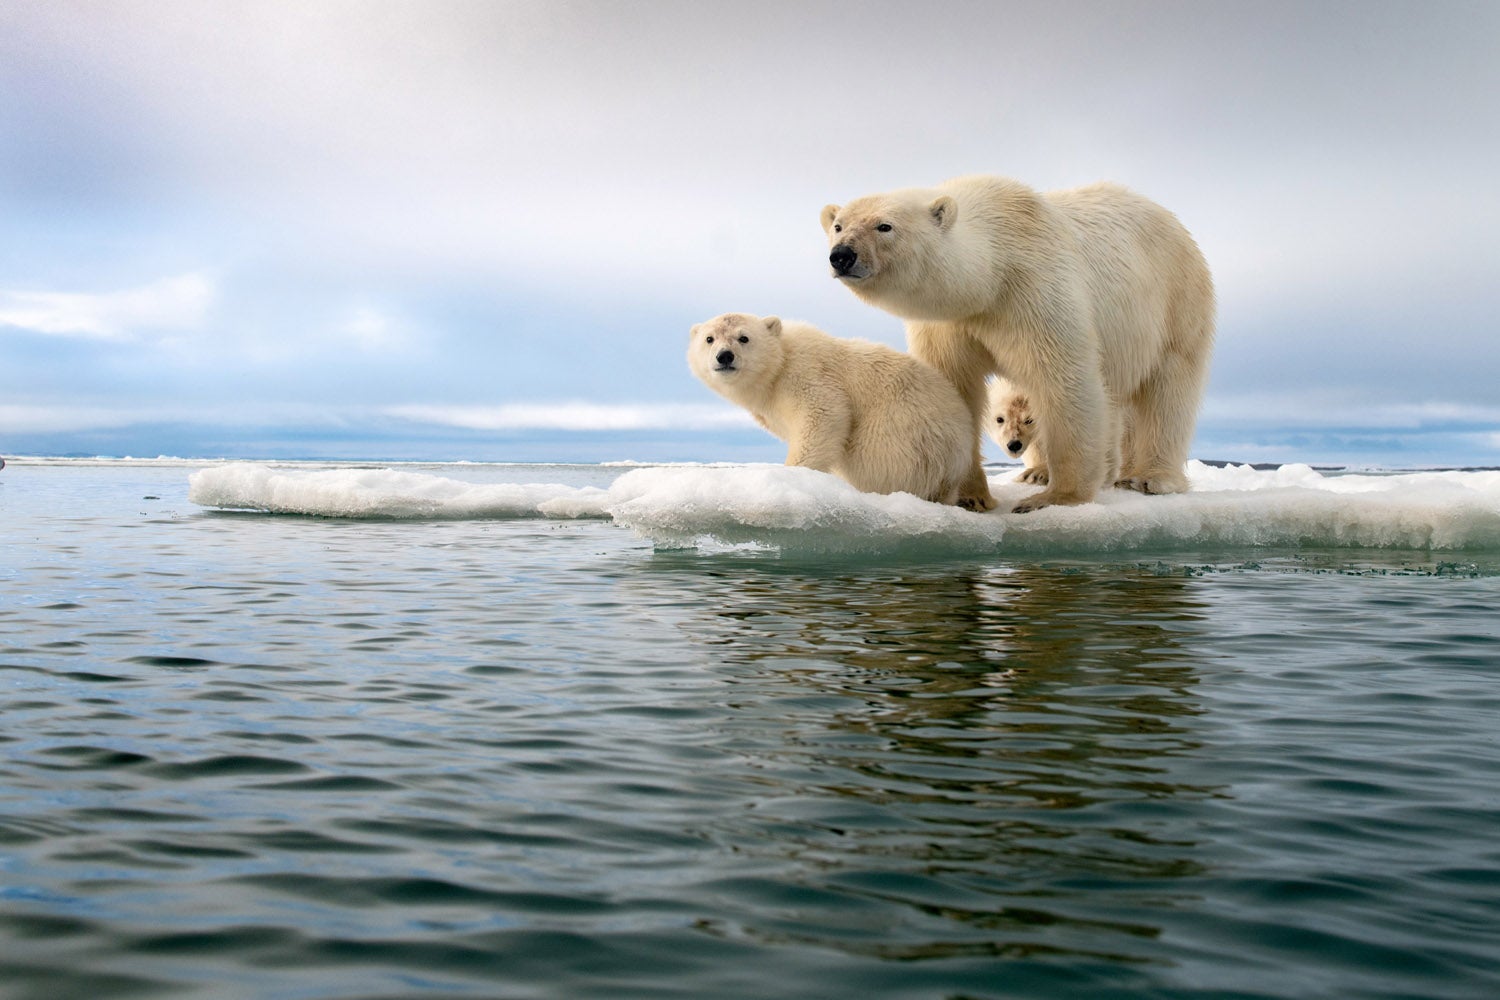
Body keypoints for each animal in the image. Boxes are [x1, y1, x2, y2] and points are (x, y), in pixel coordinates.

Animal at [687, 310, 972, 503]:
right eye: (709, 338)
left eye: (744, 338)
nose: (724, 356)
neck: (777, 369)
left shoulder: (805, 373)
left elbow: (823, 416)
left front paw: (793, 476)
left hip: (903, 435)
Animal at [828, 173, 1212, 512]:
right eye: (839, 225)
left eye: (885, 226)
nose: (841, 255)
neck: (990, 274)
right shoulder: (948, 325)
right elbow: (954, 391)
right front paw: (970, 496)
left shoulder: (1033, 290)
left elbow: (1064, 379)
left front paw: (1055, 498)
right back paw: (1044, 471)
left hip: (1176, 302)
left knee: (1168, 389)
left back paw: (1150, 478)